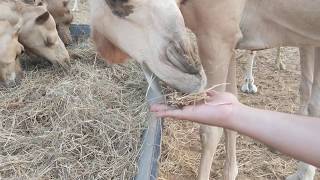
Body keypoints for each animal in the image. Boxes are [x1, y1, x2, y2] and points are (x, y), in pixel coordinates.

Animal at [89, 0, 320, 179]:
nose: (190, 70)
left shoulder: (217, 35)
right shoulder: (230, 40)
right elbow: (231, 105)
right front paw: (231, 173)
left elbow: (210, 130)